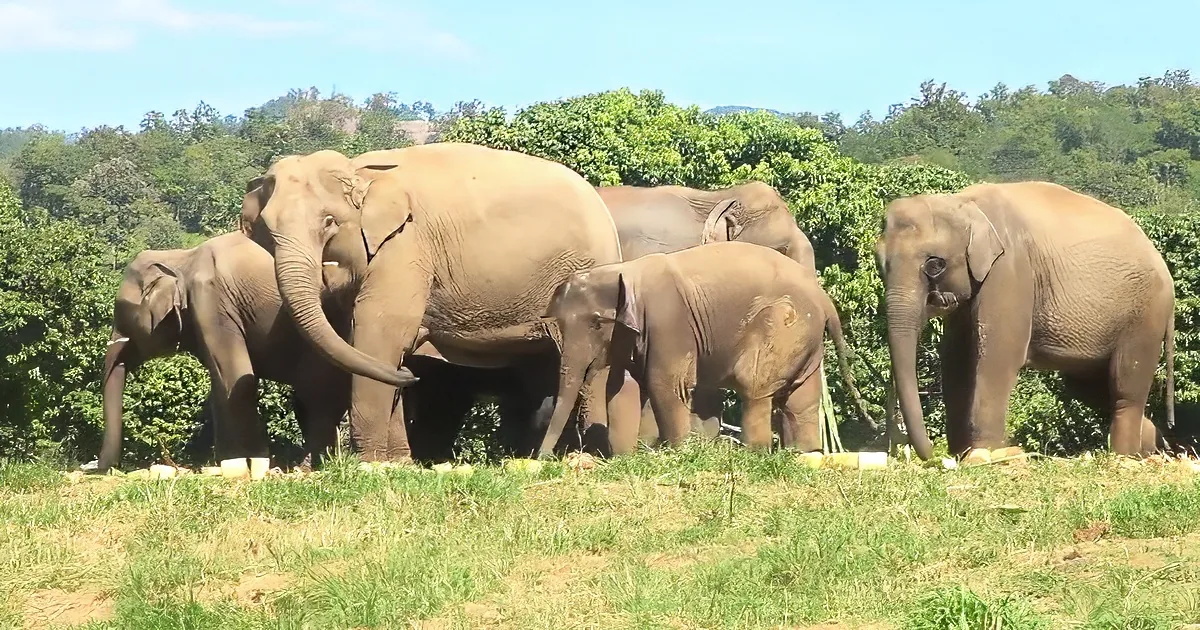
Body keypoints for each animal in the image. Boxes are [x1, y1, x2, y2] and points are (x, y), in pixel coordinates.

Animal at [98, 231, 353, 473]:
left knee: (315, 396)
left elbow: (236, 376)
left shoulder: (211, 302)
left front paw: (250, 462)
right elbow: (220, 385)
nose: (101, 467)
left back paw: (308, 466)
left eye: (123, 316)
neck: (180, 257)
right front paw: (227, 461)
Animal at [239, 143, 625, 462]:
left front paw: (371, 464)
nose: (412, 374)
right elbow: (369, 349)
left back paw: (585, 457)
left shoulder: (405, 246)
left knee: (586, 365)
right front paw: (399, 462)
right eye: (266, 232)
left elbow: (379, 335)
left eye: (329, 223)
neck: (360, 171)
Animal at [537, 241, 876, 455]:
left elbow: (665, 384)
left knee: (754, 385)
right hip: (807, 340)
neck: (625, 270)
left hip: (785, 325)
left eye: (596, 323)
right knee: (801, 397)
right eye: (560, 325)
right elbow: (623, 388)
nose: (543, 459)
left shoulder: (668, 322)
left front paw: (676, 451)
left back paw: (754, 453)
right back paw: (803, 453)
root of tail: (824, 299)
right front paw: (633, 454)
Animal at [876, 181, 1176, 460]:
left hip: (1145, 316)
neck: (963, 203)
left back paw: (1125, 455)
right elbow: (955, 359)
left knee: (1125, 386)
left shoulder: (1010, 269)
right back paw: (1151, 444)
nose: (932, 455)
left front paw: (985, 453)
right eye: (879, 265)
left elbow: (997, 355)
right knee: (1090, 389)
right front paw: (962, 454)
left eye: (935, 264)